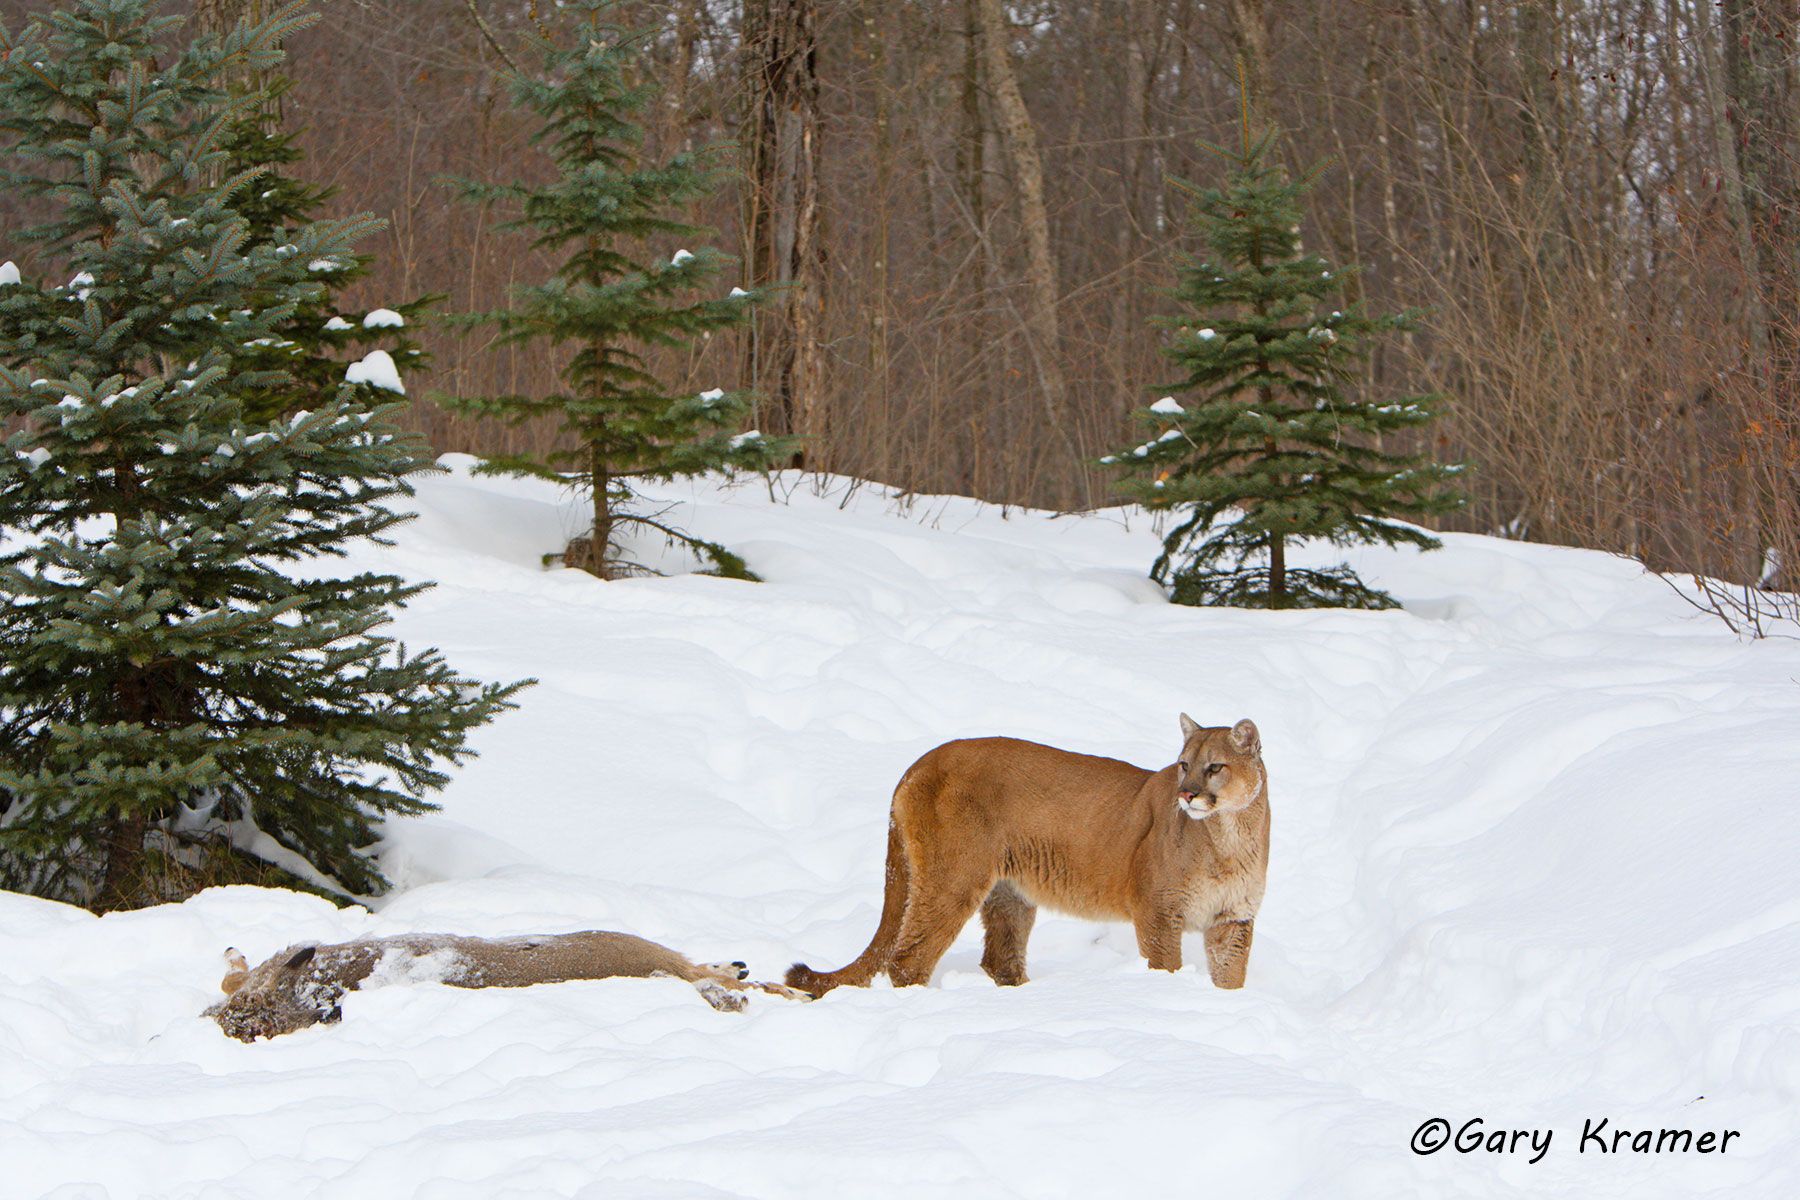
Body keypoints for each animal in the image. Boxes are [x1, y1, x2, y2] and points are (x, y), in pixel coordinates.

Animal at [786, 715, 1269, 995]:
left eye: (1214, 767)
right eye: (1184, 764)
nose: (1186, 793)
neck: (1229, 837)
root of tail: (921, 762)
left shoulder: (1232, 920)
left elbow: (1232, 978)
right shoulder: (1158, 912)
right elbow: (1164, 968)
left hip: (1009, 892)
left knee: (999, 958)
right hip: (953, 878)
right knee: (907, 958)